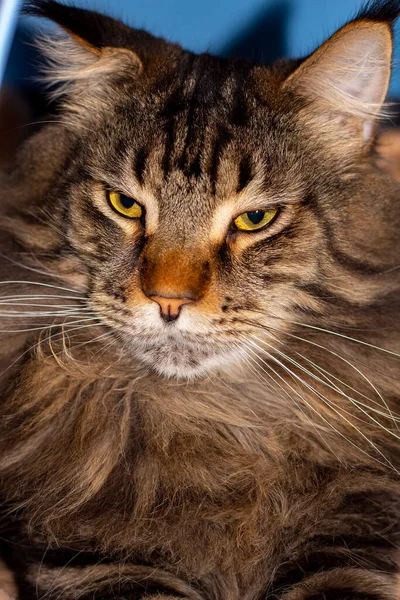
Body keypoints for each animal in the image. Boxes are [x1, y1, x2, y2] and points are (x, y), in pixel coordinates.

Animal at [0, 0, 400, 596]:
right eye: (124, 204)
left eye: (255, 218)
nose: (168, 300)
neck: (209, 415)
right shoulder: (93, 555)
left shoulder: (362, 530)